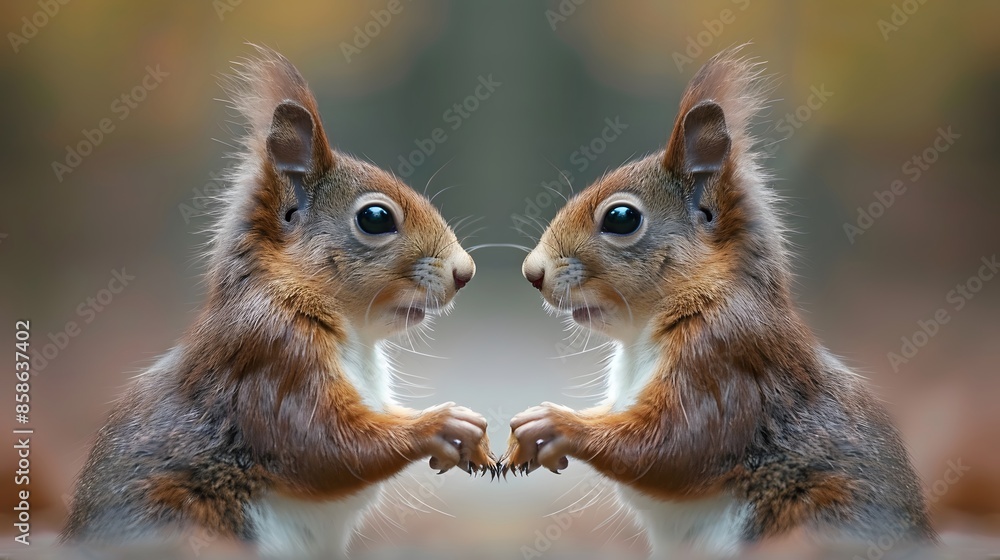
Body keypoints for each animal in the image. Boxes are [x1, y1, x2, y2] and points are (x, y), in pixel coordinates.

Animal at [61, 46, 496, 555]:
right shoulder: (272, 358)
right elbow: (326, 444)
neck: (353, 332)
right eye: (375, 218)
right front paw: (441, 425)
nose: (464, 272)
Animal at [502, 48, 937, 555]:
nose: (533, 272)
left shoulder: (725, 359)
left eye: (621, 217)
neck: (644, 335)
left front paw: (555, 424)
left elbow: (672, 444)